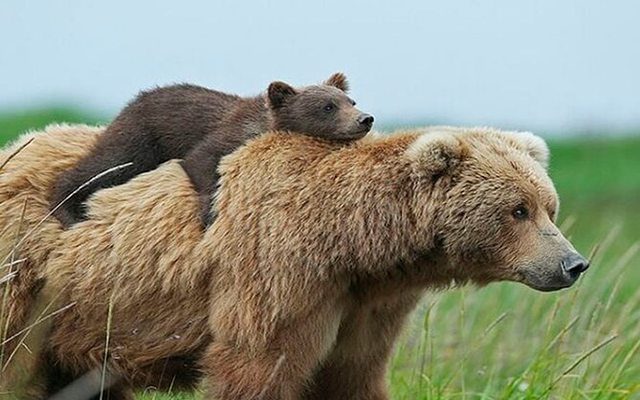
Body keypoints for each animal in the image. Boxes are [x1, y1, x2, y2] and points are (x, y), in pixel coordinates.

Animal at [1, 124, 588, 399]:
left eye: (549, 205)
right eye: (518, 210)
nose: (572, 264)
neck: (353, 246)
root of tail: (15, 146)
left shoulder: (363, 306)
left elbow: (351, 375)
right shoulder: (278, 272)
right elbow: (257, 365)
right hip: (28, 282)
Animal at [49, 73, 374, 228]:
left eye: (350, 100)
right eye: (327, 106)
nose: (365, 119)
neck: (264, 124)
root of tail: (133, 100)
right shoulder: (226, 135)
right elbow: (202, 160)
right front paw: (209, 213)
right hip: (141, 137)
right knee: (107, 165)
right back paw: (66, 209)